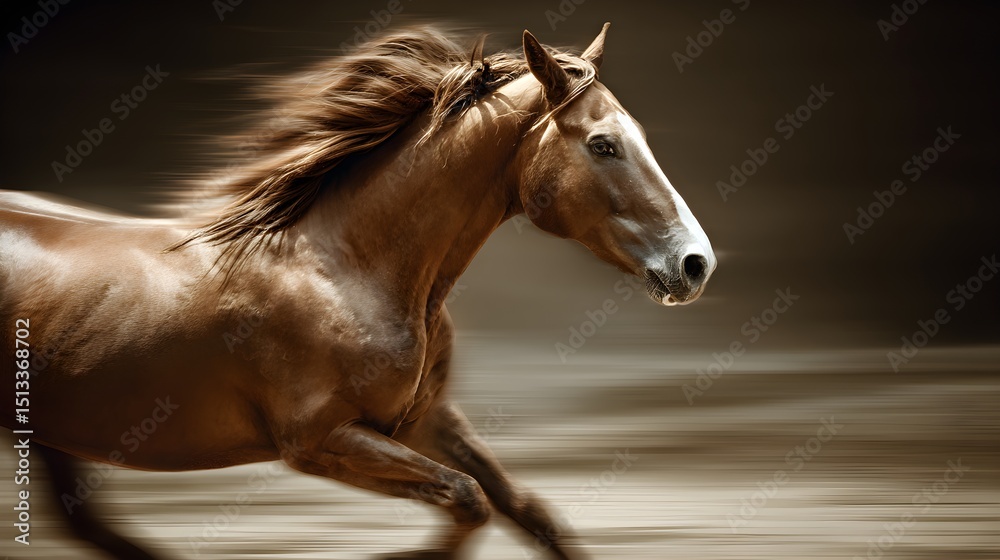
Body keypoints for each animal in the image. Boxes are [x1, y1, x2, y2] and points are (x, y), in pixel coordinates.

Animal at [0, 24, 715, 559]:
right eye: (603, 144)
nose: (695, 263)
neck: (347, 269)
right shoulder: (321, 441)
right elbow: (466, 498)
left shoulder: (425, 421)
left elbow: (526, 511)